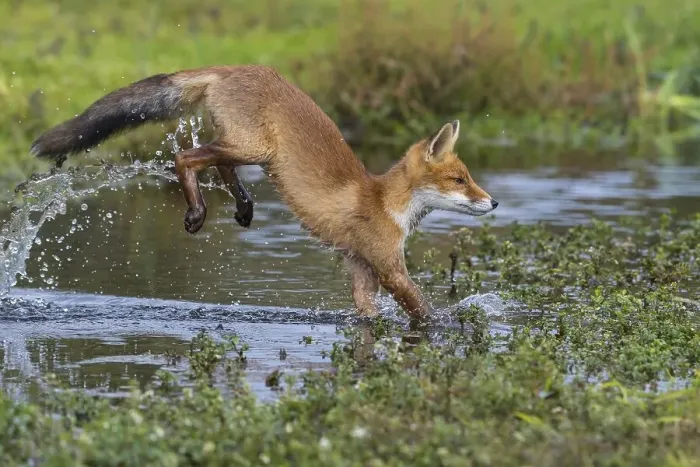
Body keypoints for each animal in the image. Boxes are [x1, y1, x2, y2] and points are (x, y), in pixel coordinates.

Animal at [30, 65, 498, 320]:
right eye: (459, 181)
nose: (493, 202)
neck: (386, 204)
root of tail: (234, 68)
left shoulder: (361, 272)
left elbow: (369, 315)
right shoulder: (389, 269)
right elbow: (426, 314)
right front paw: (452, 329)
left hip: (246, 147)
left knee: (216, 161)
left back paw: (242, 205)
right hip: (255, 147)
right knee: (186, 156)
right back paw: (198, 211)